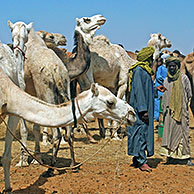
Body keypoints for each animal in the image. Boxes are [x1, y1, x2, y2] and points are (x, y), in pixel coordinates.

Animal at [0, 66, 136, 193]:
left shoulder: (12, 113)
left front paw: (8, 189)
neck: (9, 95)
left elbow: (6, 157)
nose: (132, 113)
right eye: (110, 102)